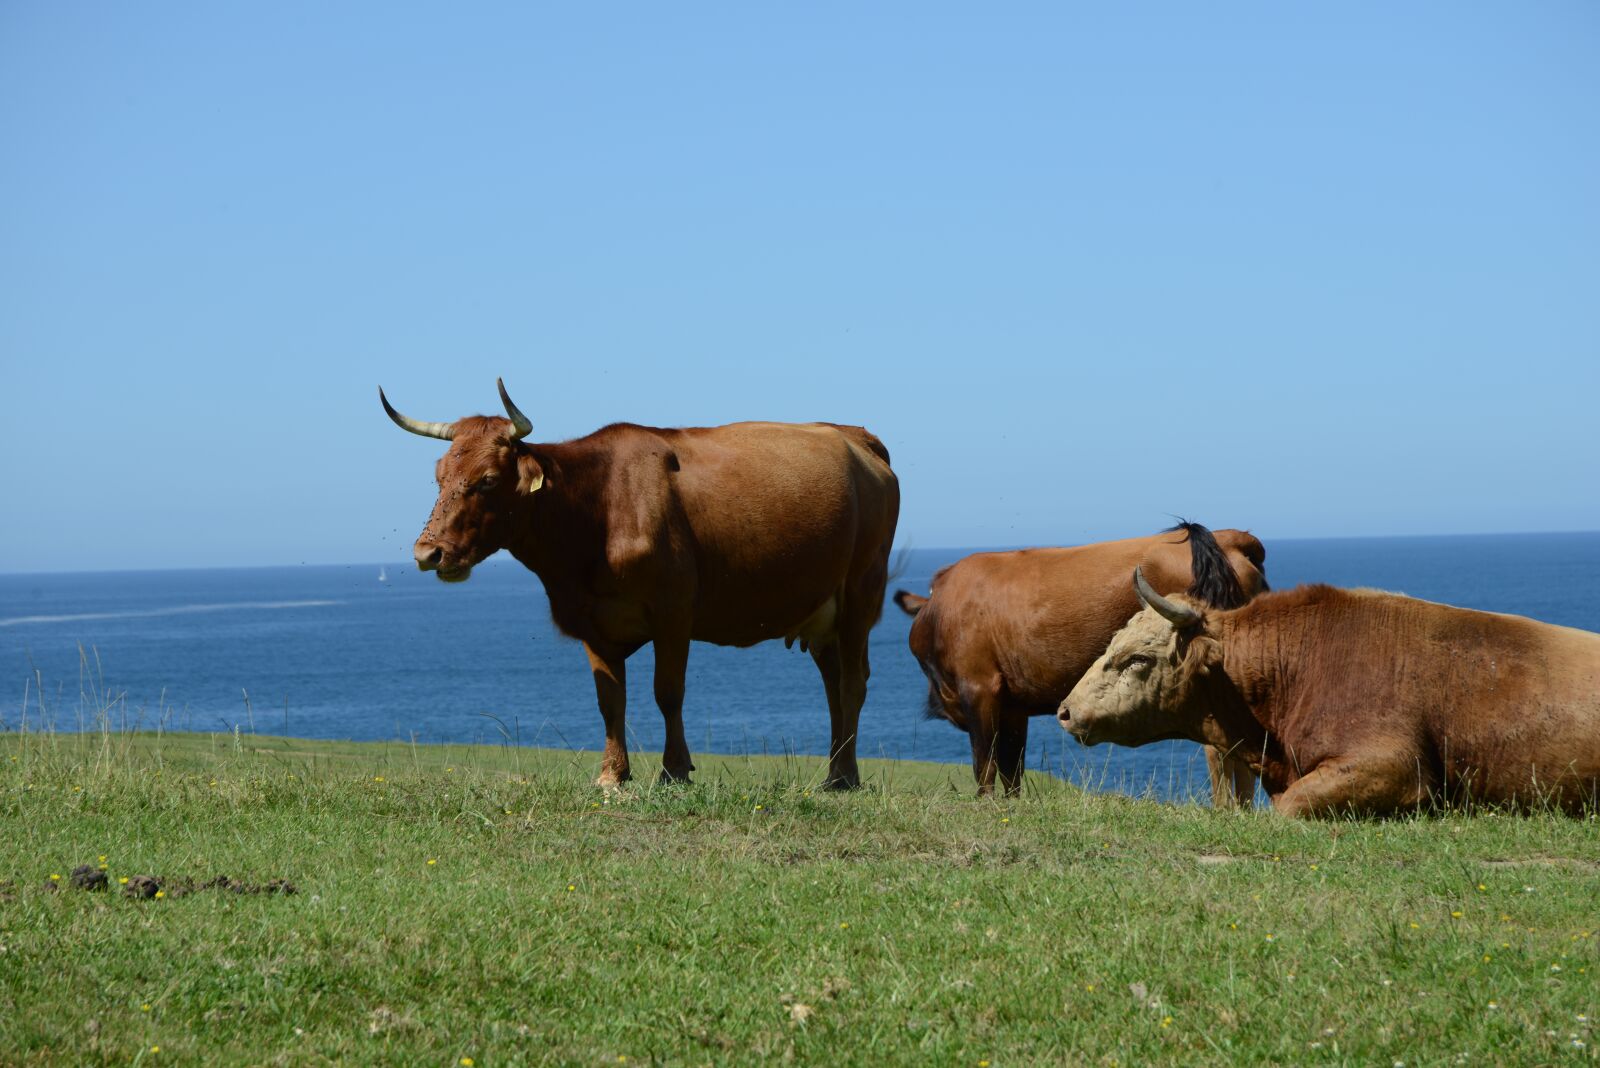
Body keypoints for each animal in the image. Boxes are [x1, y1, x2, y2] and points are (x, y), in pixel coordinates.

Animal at [380, 380, 900, 789]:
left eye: (487, 479)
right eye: (439, 476)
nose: (428, 553)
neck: (598, 509)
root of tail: (855, 435)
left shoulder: (674, 614)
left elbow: (667, 693)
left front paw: (675, 770)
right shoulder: (592, 622)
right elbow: (610, 700)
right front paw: (613, 774)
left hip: (861, 591)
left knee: (852, 683)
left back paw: (846, 777)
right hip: (823, 613)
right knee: (833, 684)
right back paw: (833, 772)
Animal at [893, 523, 1268, 800]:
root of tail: (1227, 536)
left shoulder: (979, 687)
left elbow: (984, 765)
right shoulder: (1013, 706)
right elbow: (1012, 769)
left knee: (1219, 751)